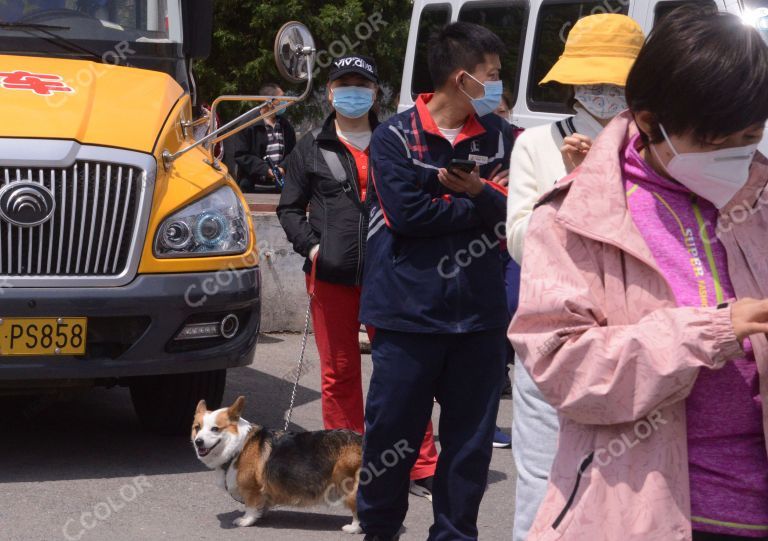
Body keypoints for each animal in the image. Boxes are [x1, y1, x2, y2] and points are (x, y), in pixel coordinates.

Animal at [190, 392, 362, 532]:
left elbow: (250, 506)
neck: (239, 447)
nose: (198, 442)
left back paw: (352, 528)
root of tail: (362, 441)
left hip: (348, 484)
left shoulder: (251, 488)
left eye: (215, 429)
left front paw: (245, 520)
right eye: (197, 427)